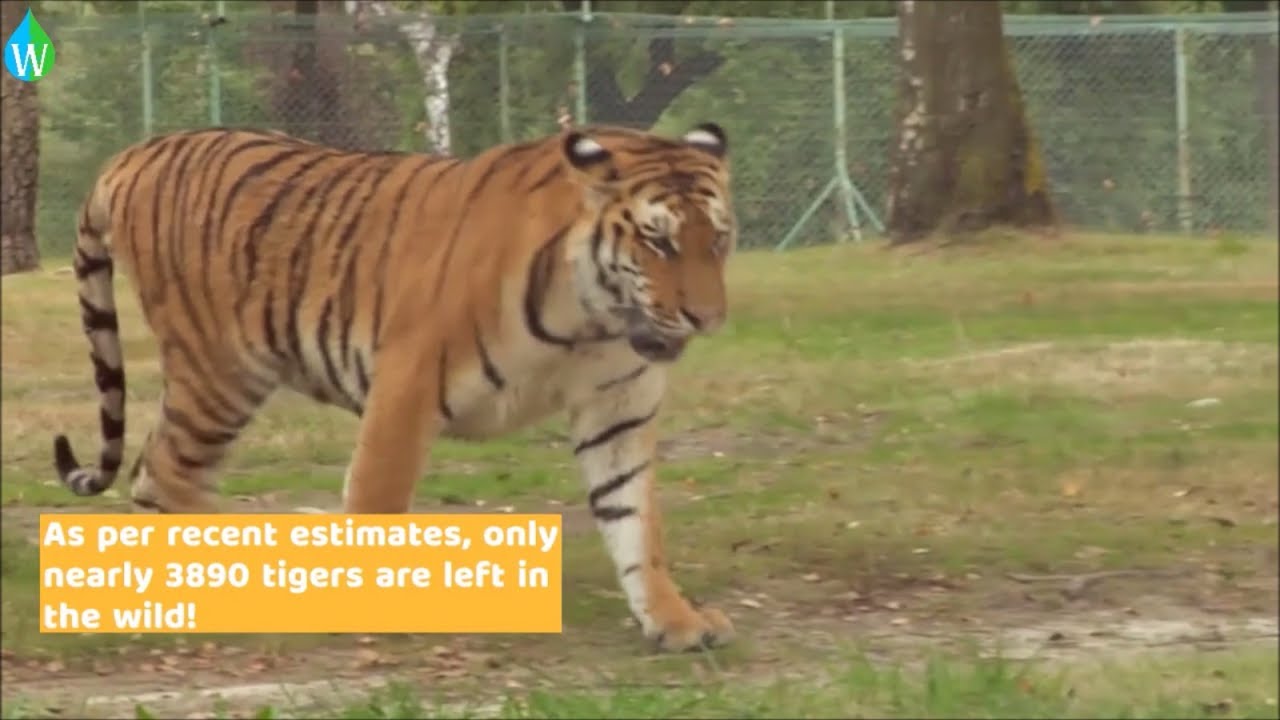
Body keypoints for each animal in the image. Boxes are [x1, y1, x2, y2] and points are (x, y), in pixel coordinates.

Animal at [53, 121, 738, 651]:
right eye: (657, 240)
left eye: (720, 238)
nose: (708, 319)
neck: (590, 321)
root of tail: (136, 152)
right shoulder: (408, 382)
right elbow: (378, 498)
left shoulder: (617, 408)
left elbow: (635, 522)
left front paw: (676, 621)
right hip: (223, 371)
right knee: (164, 476)